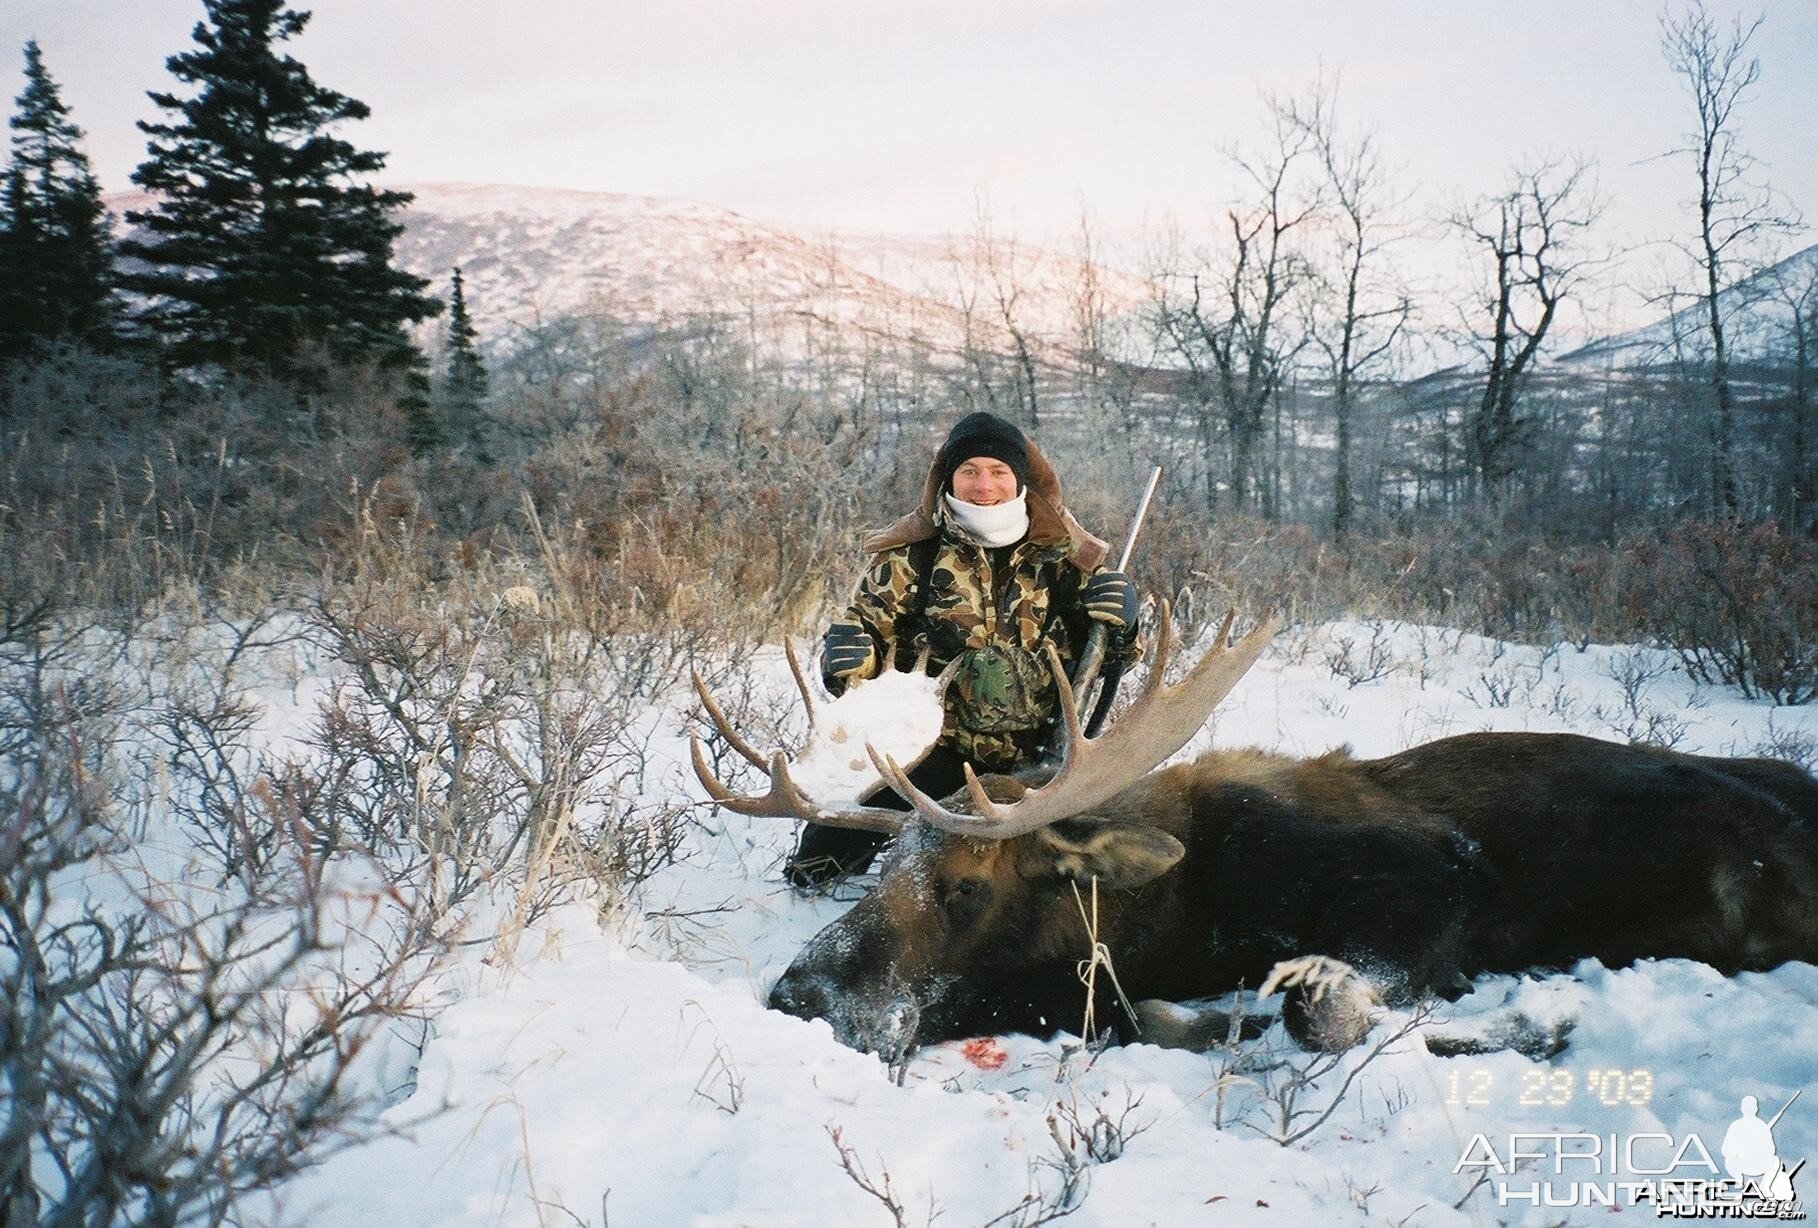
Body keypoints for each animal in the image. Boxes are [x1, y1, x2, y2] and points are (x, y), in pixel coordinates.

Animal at [690, 614, 1818, 1055]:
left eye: (967, 883)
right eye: (879, 866)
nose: (797, 994)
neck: (1188, 916)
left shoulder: (1434, 878)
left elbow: (1322, 1007)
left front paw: (1545, 1019)